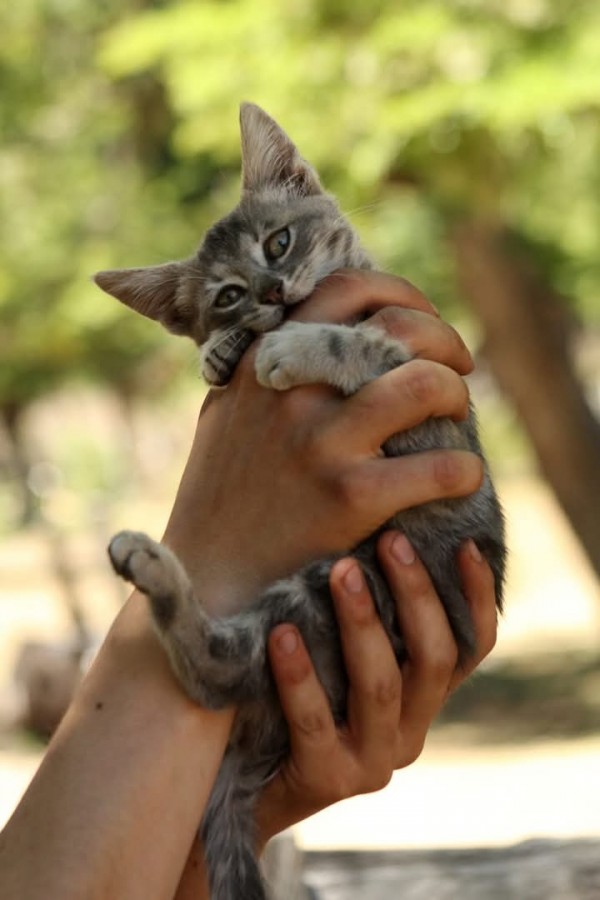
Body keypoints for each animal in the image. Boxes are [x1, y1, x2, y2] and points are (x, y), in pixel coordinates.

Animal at [95, 105, 506, 900]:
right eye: (227, 294)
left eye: (278, 242)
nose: (275, 295)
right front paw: (219, 352)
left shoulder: (427, 390)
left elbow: (364, 347)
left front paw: (294, 347)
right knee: (217, 674)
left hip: (339, 590)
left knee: (219, 675)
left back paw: (151, 566)